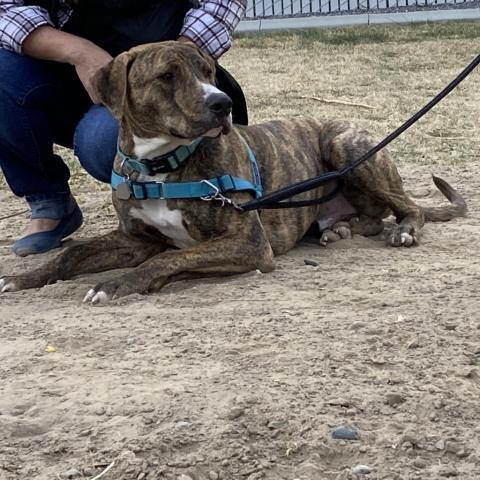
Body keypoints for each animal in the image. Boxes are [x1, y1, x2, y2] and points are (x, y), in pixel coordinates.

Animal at [0, 42, 464, 304]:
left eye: (208, 71)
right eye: (167, 76)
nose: (221, 103)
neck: (161, 164)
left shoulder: (249, 243)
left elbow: (172, 257)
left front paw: (119, 284)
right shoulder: (135, 238)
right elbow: (72, 253)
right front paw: (26, 278)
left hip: (346, 146)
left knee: (406, 207)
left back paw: (403, 231)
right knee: (370, 216)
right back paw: (340, 229)